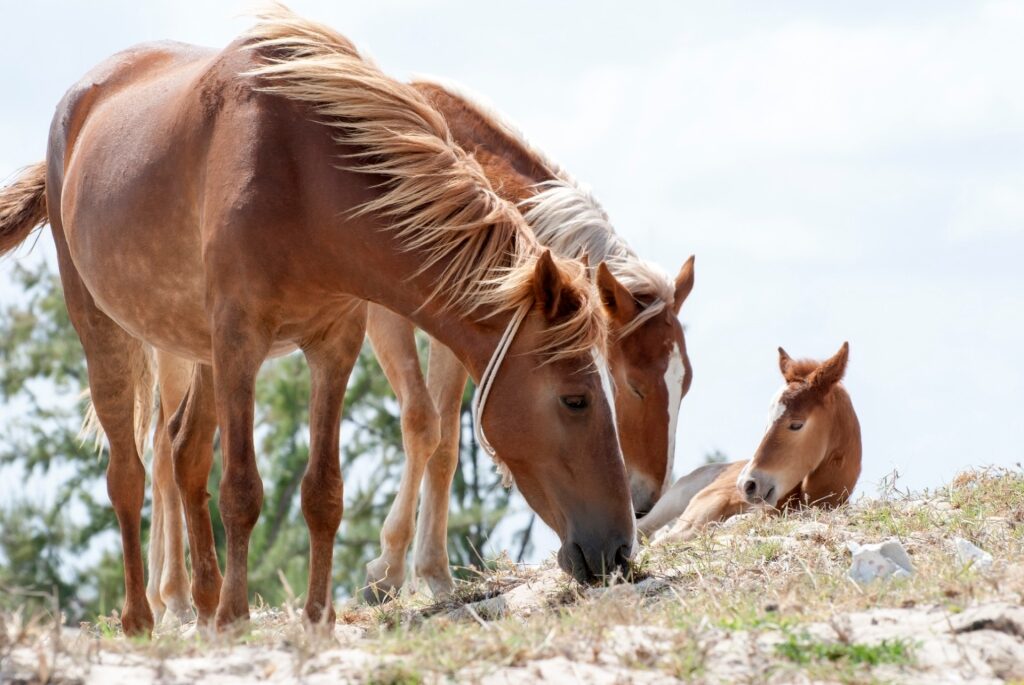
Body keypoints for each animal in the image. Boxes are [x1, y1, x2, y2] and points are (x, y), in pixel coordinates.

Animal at [0, 6, 634, 634]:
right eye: (575, 399)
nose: (621, 550)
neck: (302, 172)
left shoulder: (334, 346)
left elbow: (323, 491)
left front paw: (316, 618)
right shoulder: (241, 342)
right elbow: (241, 489)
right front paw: (237, 618)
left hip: (198, 348)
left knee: (184, 454)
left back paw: (202, 602)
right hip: (107, 334)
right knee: (129, 476)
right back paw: (145, 617)